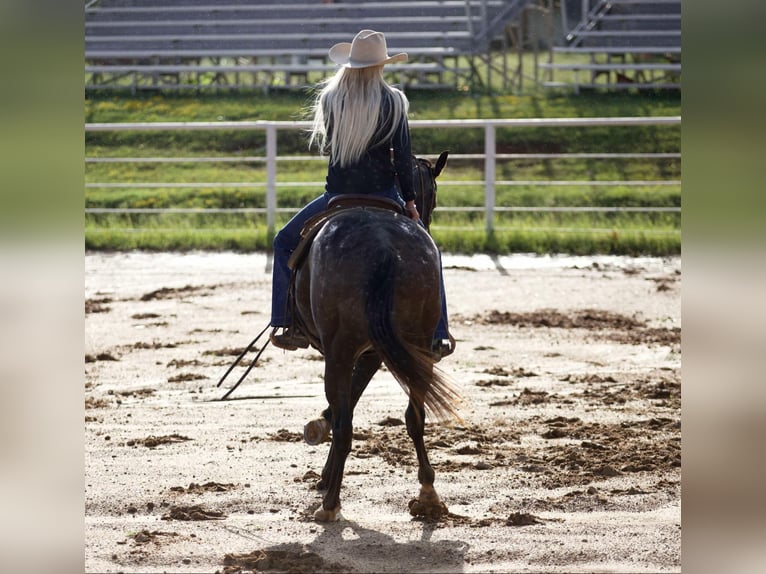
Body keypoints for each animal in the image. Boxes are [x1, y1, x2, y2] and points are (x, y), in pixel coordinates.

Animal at [292, 151, 459, 522]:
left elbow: (345, 405)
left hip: (340, 351)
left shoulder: (357, 353)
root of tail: (383, 246)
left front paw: (326, 474)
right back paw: (428, 494)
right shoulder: (376, 353)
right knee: (414, 416)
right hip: (416, 344)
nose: (424, 217)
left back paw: (330, 504)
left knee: (346, 424)